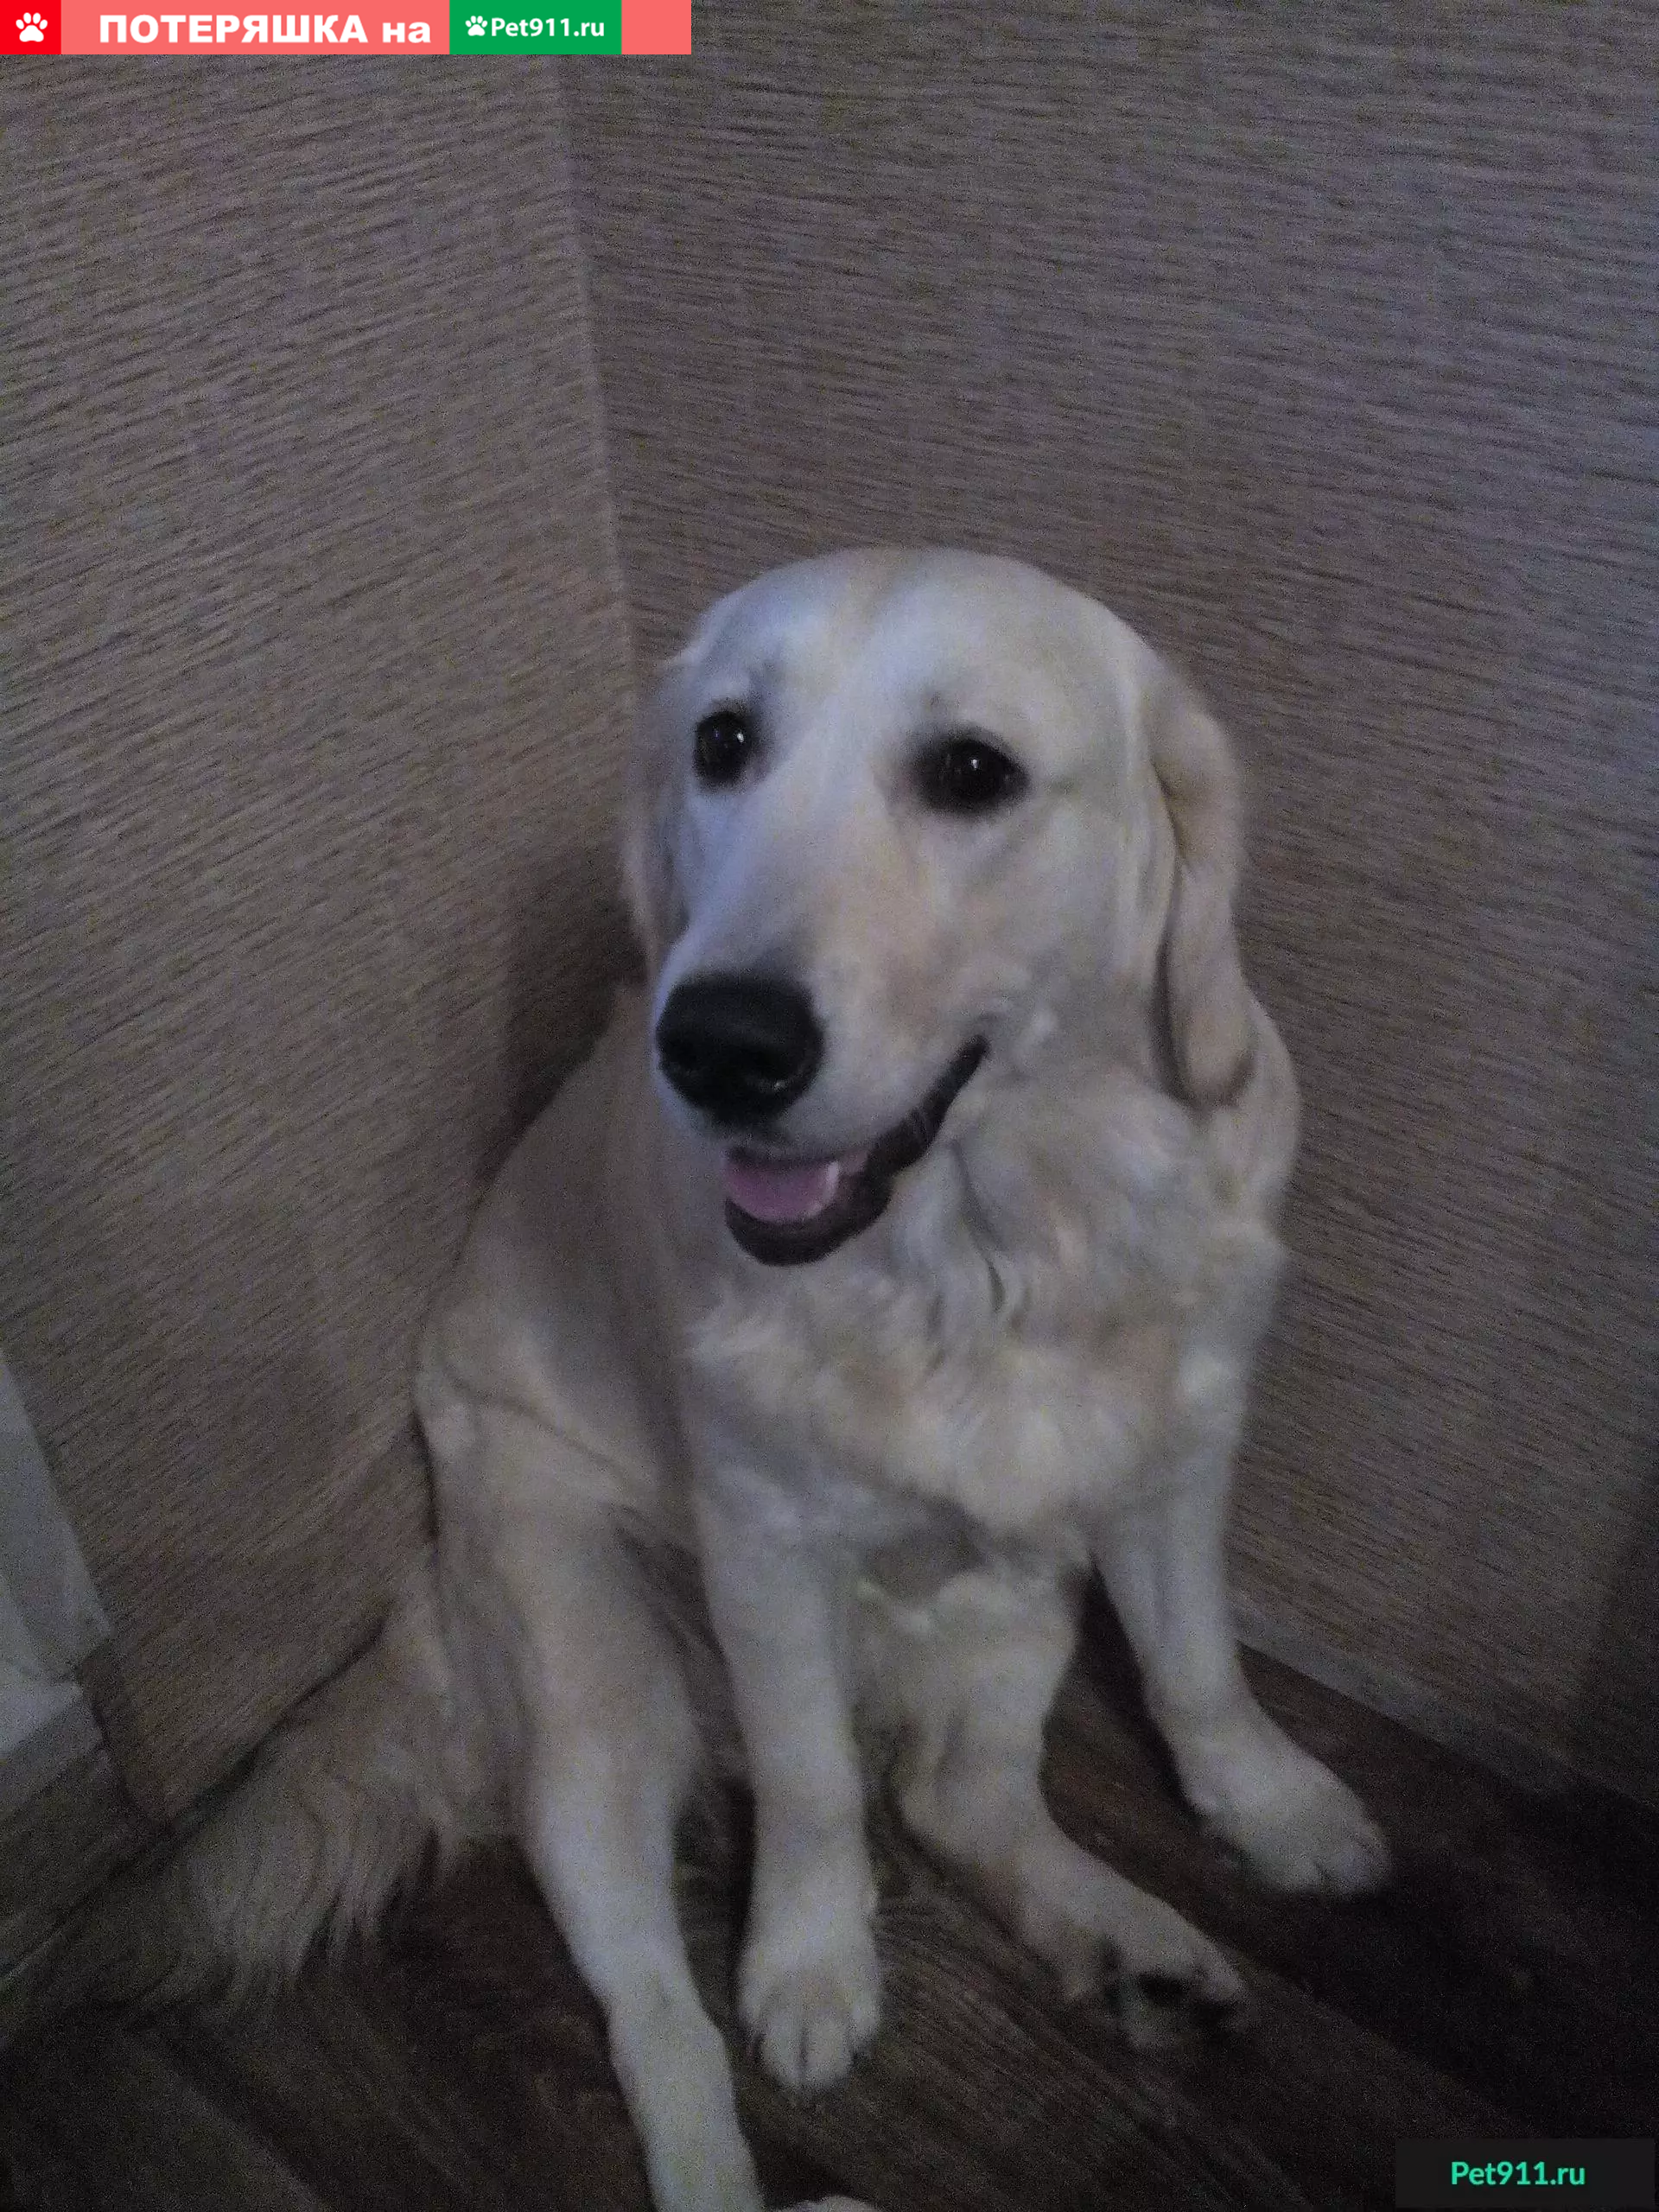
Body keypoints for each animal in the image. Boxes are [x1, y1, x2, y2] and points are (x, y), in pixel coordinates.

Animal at [69, 549, 1389, 2212]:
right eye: (724, 745)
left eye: (973, 773)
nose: (716, 1044)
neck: (985, 1247)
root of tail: (427, 1602)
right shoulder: (764, 1546)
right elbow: (810, 1786)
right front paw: (812, 1965)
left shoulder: (1177, 1454)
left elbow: (1198, 1670)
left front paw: (1273, 1807)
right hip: (595, 1689)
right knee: (653, 2009)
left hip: (1018, 1600)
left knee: (962, 1799)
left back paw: (1134, 1945)